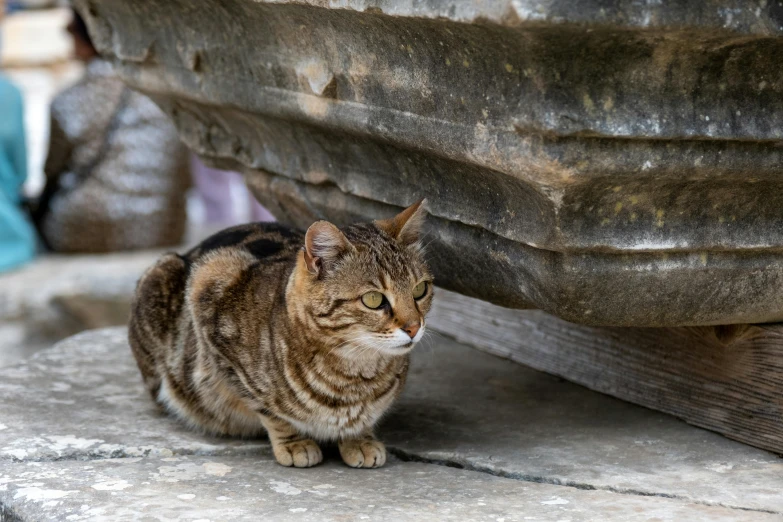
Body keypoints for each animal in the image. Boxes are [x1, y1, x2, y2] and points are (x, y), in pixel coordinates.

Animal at [129, 200, 434, 468]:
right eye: (373, 299)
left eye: (420, 290)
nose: (413, 327)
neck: (356, 376)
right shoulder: (211, 296)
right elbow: (271, 412)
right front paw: (294, 443)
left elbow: (362, 420)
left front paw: (359, 439)